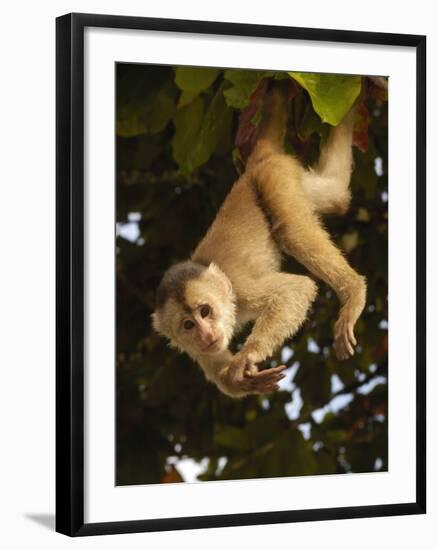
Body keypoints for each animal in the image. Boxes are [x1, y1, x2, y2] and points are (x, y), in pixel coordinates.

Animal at [152, 81, 366, 396]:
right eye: (189, 325)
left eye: (205, 311)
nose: (205, 334)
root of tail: (253, 166)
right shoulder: (197, 349)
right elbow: (220, 373)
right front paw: (239, 378)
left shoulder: (242, 290)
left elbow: (296, 289)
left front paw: (248, 355)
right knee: (337, 197)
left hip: (275, 176)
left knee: (290, 229)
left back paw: (352, 291)